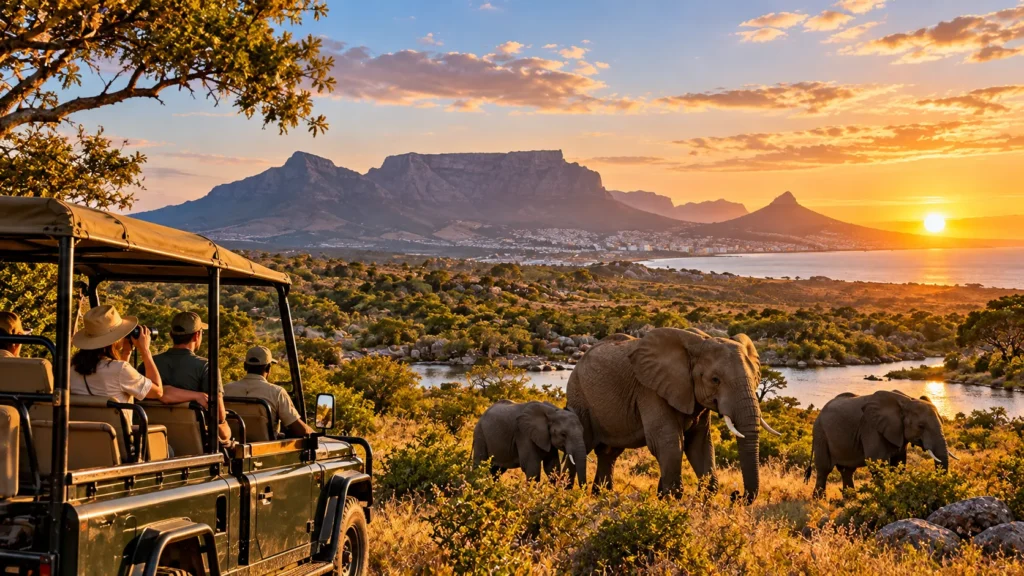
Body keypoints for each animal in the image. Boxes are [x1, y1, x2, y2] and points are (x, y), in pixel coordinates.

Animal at [565, 327, 779, 502]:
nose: (736, 495)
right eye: (715, 380)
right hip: (579, 397)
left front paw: (700, 498)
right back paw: (565, 492)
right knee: (580, 445)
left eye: (755, 378)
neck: (698, 343)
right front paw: (671, 500)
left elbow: (700, 444)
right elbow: (667, 441)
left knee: (608, 453)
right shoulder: (649, 390)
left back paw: (601, 495)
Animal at [805, 390, 954, 498]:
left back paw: (850, 500)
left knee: (847, 471)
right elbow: (878, 463)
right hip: (820, 433)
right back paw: (819, 499)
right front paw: (882, 496)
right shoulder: (871, 428)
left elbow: (899, 464)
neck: (906, 400)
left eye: (943, 421)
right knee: (824, 469)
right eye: (921, 426)